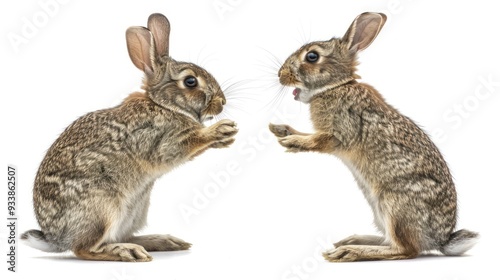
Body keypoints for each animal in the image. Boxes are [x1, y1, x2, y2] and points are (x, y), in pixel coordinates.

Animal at [21, 13, 236, 262]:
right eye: (190, 81)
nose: (222, 103)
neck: (163, 104)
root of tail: (55, 238)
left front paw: (226, 136)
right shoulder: (160, 140)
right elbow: (183, 145)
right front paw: (220, 130)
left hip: (135, 211)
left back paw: (163, 241)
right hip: (102, 209)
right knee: (84, 249)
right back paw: (127, 252)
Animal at [272, 12, 478, 262]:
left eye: (312, 56)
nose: (280, 75)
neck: (334, 87)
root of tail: (440, 240)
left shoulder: (340, 133)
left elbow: (317, 140)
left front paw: (292, 142)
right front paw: (280, 130)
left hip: (395, 206)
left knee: (405, 249)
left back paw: (350, 251)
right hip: (380, 210)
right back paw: (352, 240)